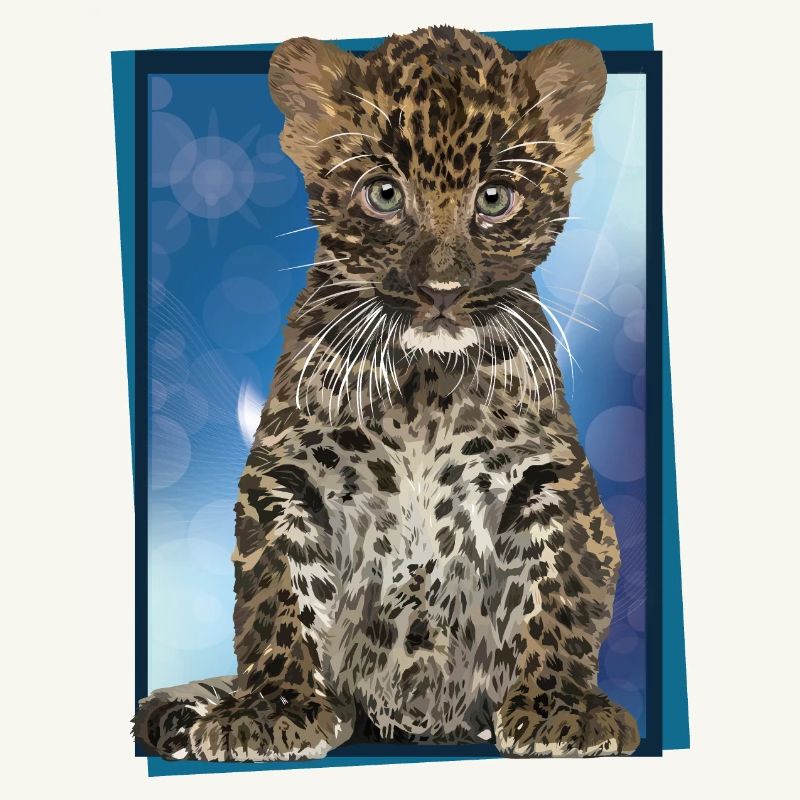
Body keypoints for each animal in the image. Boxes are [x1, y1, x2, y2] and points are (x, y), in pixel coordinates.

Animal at [133, 25, 640, 761]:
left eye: (495, 198)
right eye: (383, 194)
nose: (441, 290)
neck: (424, 385)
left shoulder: (549, 477)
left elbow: (560, 588)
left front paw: (561, 709)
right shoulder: (286, 476)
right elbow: (278, 593)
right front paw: (270, 710)